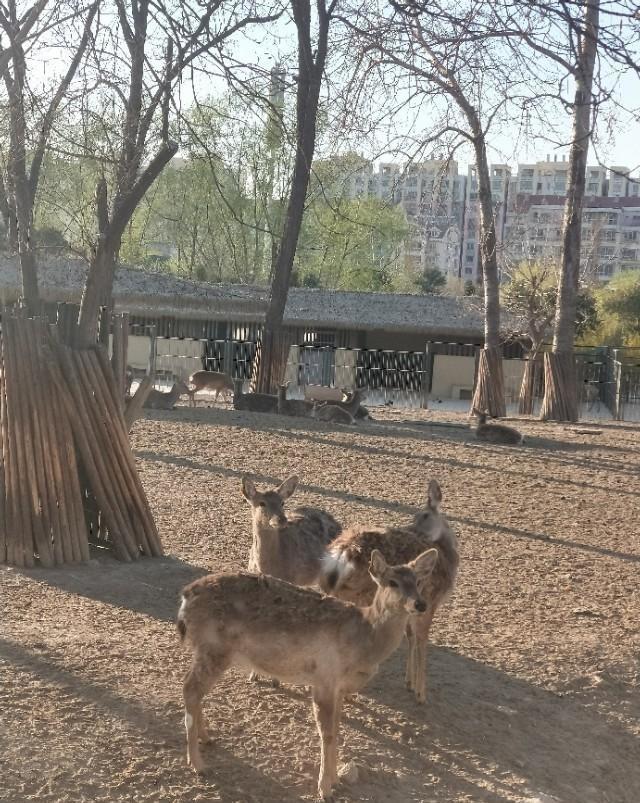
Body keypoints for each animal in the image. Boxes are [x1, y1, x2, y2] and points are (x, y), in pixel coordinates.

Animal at [178, 548, 438, 800]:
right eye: (392, 582)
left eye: (418, 581)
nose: (420, 604)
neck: (363, 642)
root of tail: (185, 597)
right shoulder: (324, 677)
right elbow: (327, 733)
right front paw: (325, 789)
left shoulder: (339, 687)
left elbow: (338, 729)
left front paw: (335, 780)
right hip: (213, 648)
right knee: (189, 688)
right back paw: (198, 765)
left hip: (209, 651)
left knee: (194, 690)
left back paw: (207, 738)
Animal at [322, 480, 458, 708]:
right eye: (416, 516)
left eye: (424, 516)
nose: (413, 532)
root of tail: (342, 553)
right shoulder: (429, 603)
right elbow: (421, 641)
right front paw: (421, 694)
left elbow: (410, 637)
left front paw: (409, 683)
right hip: (363, 595)